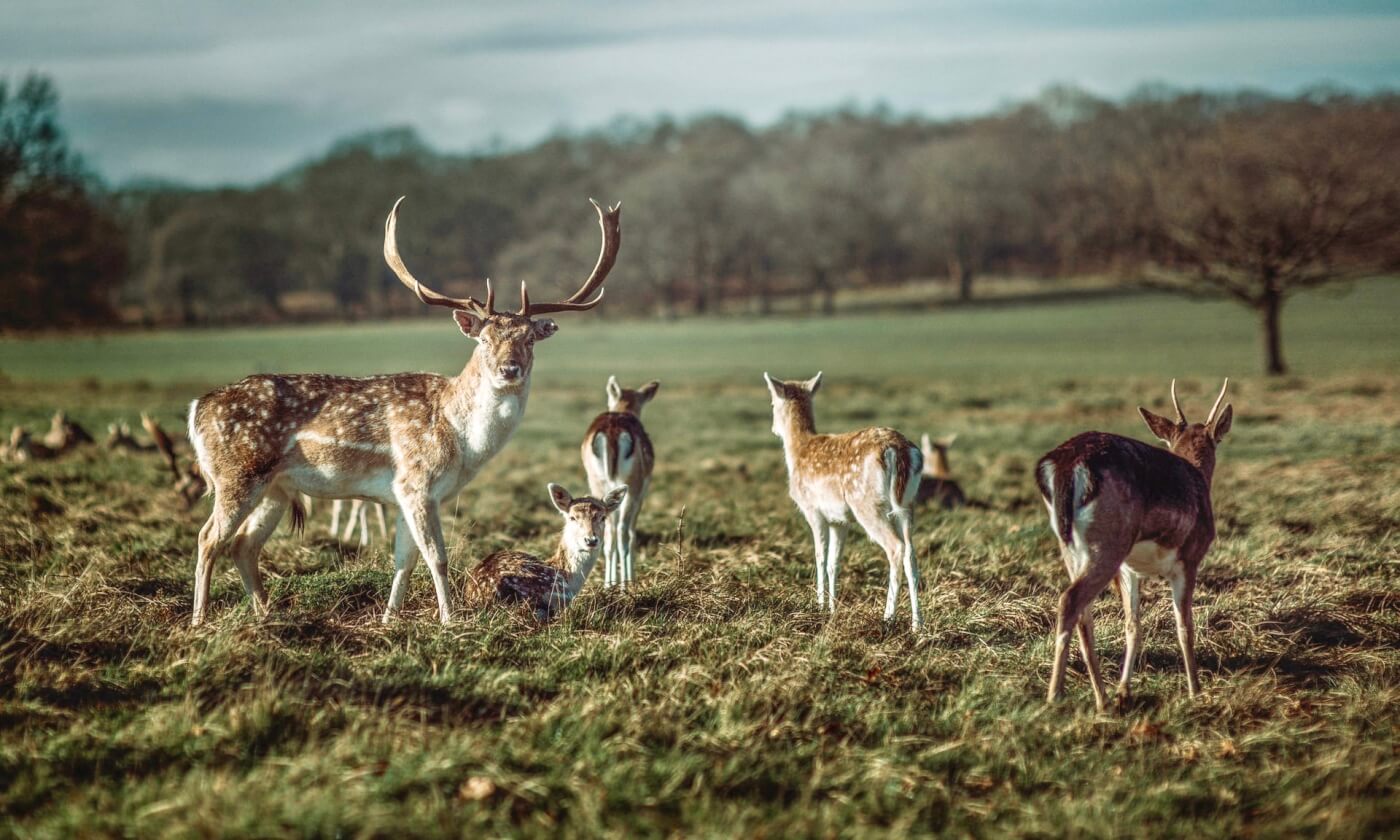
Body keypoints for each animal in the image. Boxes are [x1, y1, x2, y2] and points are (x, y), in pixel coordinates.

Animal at [579, 378, 655, 588]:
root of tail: (612, 432)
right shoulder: (640, 493)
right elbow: (631, 531)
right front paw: (630, 578)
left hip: (597, 483)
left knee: (608, 532)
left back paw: (608, 584)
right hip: (631, 486)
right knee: (622, 531)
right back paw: (625, 584)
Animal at [761, 375, 924, 630]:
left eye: (771, 403)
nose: (773, 428)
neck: (798, 451)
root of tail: (900, 452)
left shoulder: (813, 510)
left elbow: (819, 557)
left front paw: (819, 606)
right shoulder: (840, 520)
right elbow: (833, 562)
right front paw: (832, 608)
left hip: (867, 504)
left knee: (896, 548)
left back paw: (888, 617)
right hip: (908, 504)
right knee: (911, 552)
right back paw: (918, 625)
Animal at [1036, 378, 1232, 708]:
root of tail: (1063, 466)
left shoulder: (1130, 570)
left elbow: (1133, 626)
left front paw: (1124, 690)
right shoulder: (1189, 559)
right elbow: (1184, 626)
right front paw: (1196, 691)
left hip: (1072, 548)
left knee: (1083, 614)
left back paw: (1103, 698)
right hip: (1107, 546)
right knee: (1070, 600)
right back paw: (1054, 696)